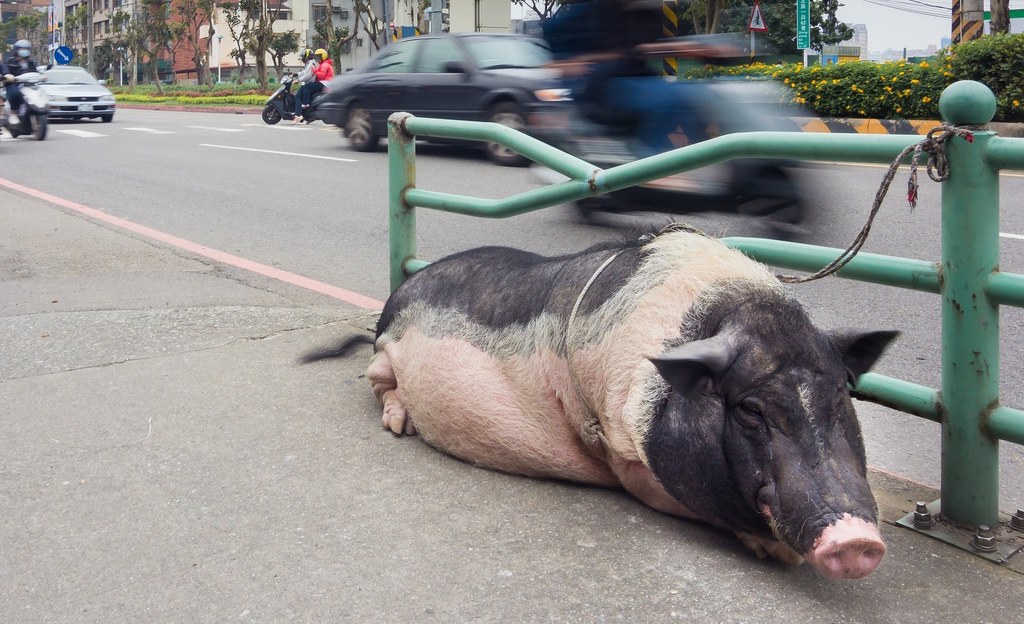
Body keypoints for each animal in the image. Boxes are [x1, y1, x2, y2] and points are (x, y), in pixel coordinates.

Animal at [331, 225, 901, 577]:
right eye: (750, 410)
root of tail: (397, 294)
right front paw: (776, 552)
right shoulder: (623, 451)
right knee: (380, 385)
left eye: (841, 397)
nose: (857, 541)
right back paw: (399, 424)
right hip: (384, 355)